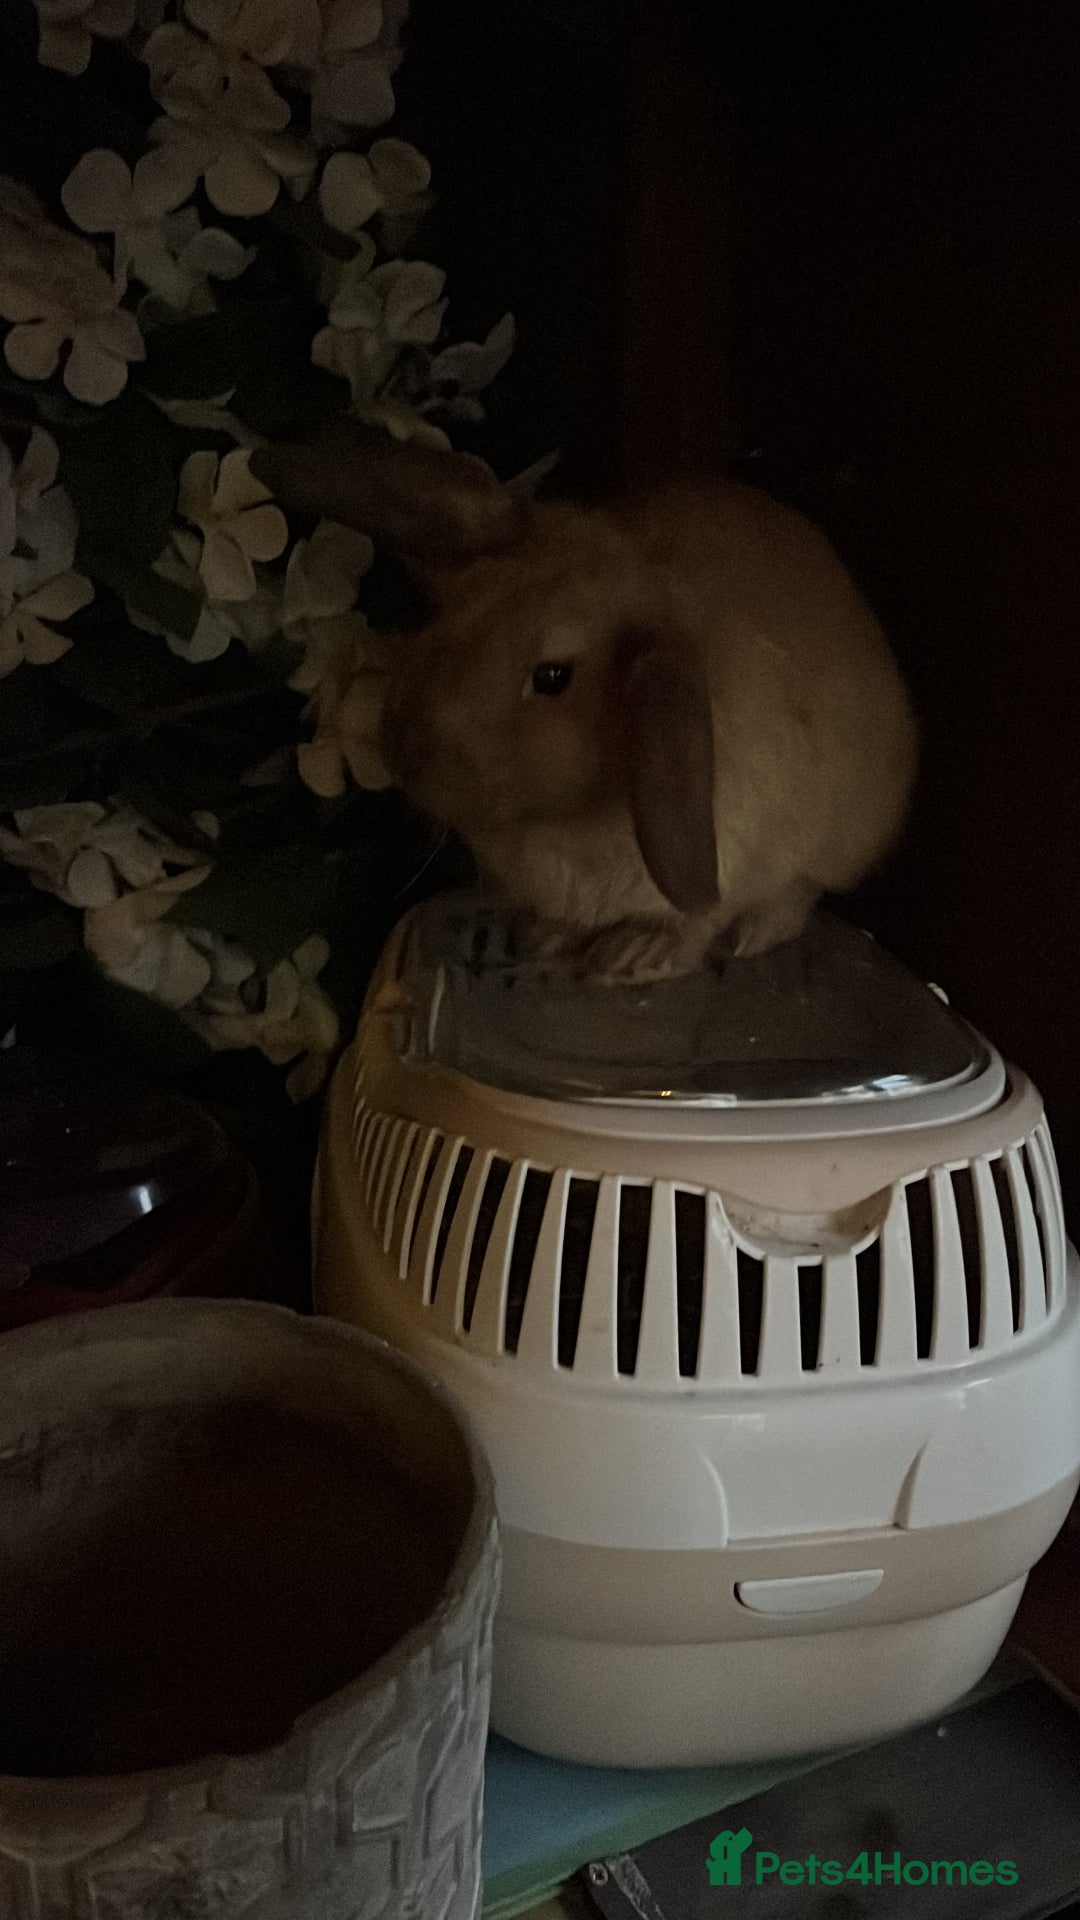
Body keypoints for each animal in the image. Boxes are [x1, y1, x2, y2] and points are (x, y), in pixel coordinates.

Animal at [252, 424, 917, 981]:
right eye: (445, 617)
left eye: (551, 677)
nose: (402, 751)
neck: (558, 826)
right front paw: (547, 941)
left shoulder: (738, 858)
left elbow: (701, 919)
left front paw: (635, 957)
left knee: (797, 895)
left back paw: (744, 936)